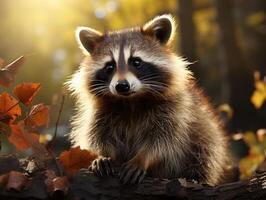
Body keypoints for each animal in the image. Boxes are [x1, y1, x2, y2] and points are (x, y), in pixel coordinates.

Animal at [68, 14, 227, 186]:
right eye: (109, 67)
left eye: (136, 62)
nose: (121, 86)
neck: (131, 100)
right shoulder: (100, 113)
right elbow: (97, 136)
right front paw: (102, 155)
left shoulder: (176, 109)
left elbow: (164, 140)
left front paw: (142, 159)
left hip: (205, 133)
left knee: (205, 149)